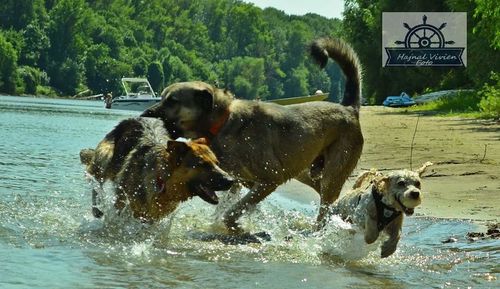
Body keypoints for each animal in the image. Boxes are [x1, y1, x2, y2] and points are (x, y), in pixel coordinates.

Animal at [79, 116, 233, 222]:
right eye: (203, 164)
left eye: (217, 163)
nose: (231, 180)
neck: (163, 179)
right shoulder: (123, 204)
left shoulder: (155, 216)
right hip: (105, 157)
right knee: (96, 183)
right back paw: (97, 208)